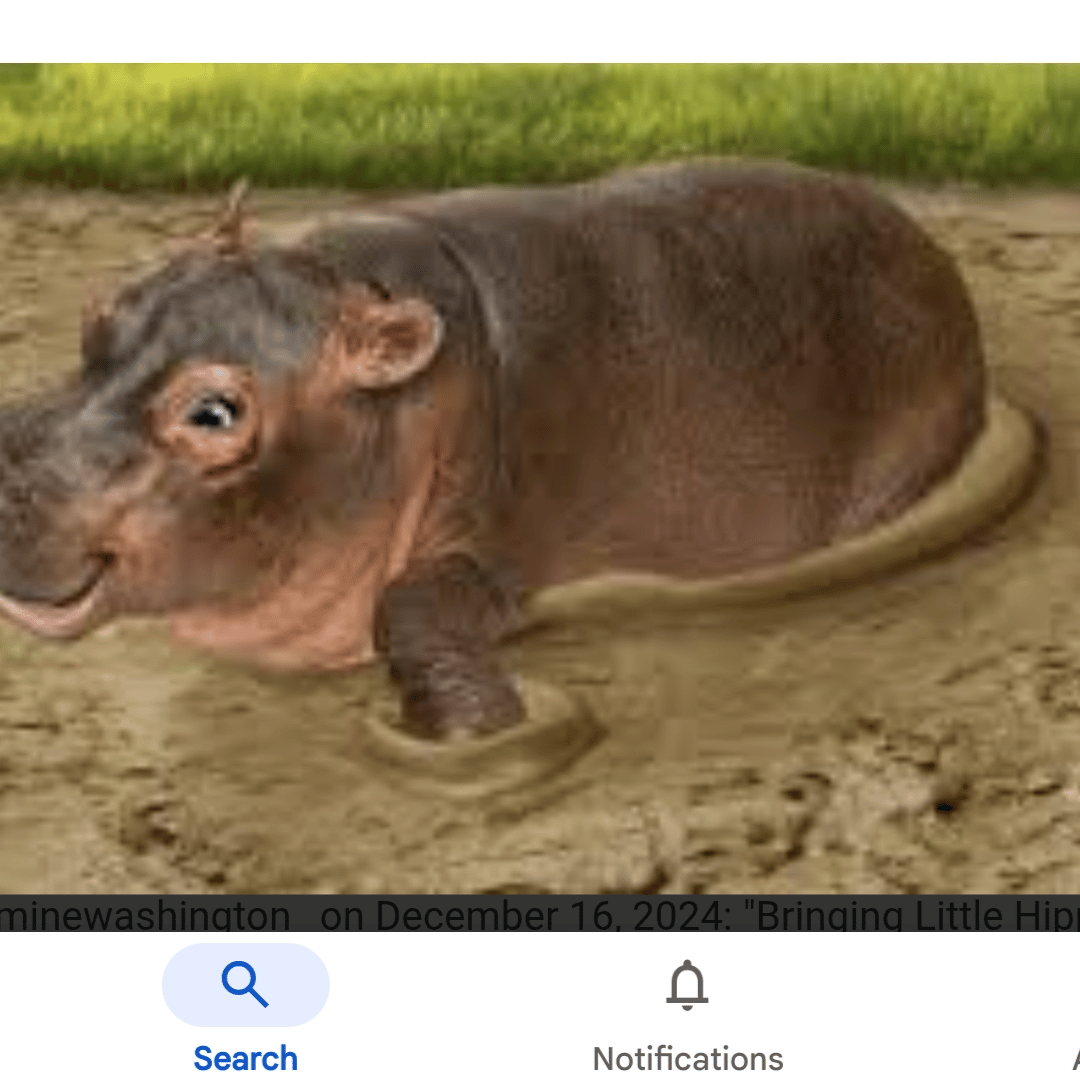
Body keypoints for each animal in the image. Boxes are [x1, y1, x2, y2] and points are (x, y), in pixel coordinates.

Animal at [0, 160, 1038, 768]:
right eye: (99, 313)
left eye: (214, 412)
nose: (9, 468)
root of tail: (926, 243)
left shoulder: (491, 553)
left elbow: (409, 609)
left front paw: (476, 739)